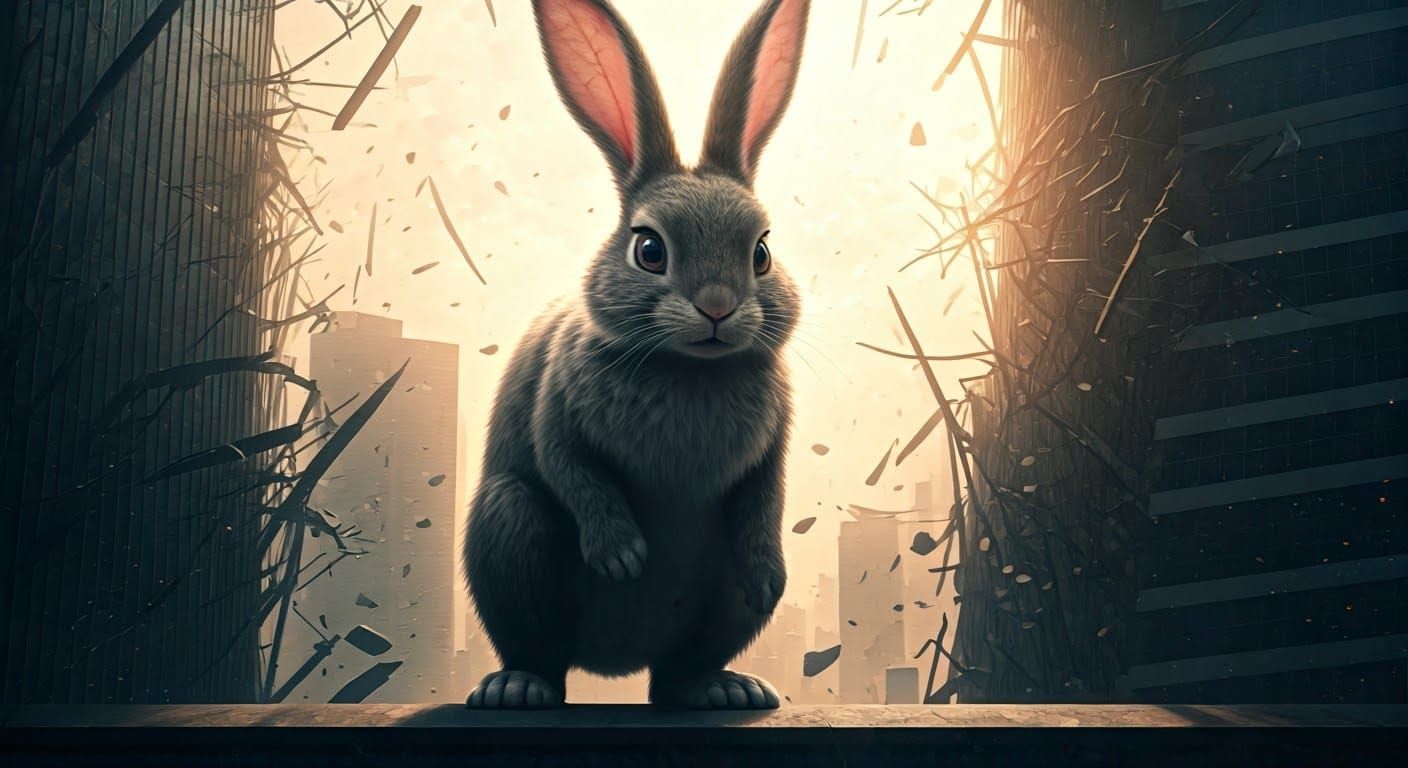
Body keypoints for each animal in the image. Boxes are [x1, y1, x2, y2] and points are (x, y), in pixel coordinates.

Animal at [462, 0, 810, 709]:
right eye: (649, 249)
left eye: (761, 252)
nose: (716, 306)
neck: (691, 367)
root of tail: (613, 666)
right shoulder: (556, 406)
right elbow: (570, 467)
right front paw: (621, 556)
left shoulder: (775, 446)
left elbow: (768, 494)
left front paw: (769, 579)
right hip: (507, 529)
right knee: (538, 651)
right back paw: (516, 686)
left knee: (675, 676)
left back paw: (724, 688)